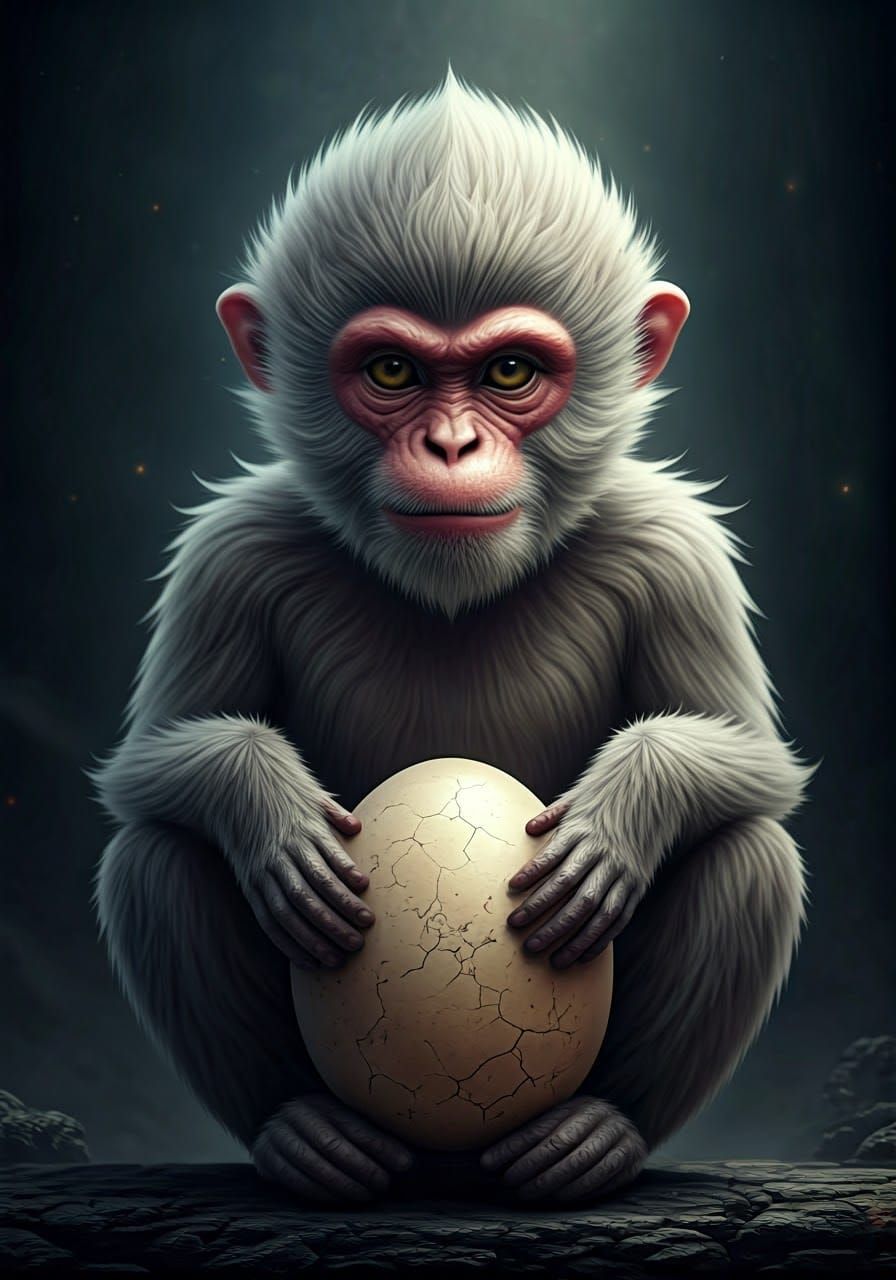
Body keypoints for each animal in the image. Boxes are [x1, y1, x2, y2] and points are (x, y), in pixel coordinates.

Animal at [93, 71, 811, 1205]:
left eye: (510, 372)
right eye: (392, 372)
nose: (451, 444)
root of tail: (448, 1165)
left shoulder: (671, 546)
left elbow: (755, 761)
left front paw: (614, 820)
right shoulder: (233, 551)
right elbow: (149, 766)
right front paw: (272, 812)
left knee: (751, 852)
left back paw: (596, 1134)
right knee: (151, 853)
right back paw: (302, 1132)